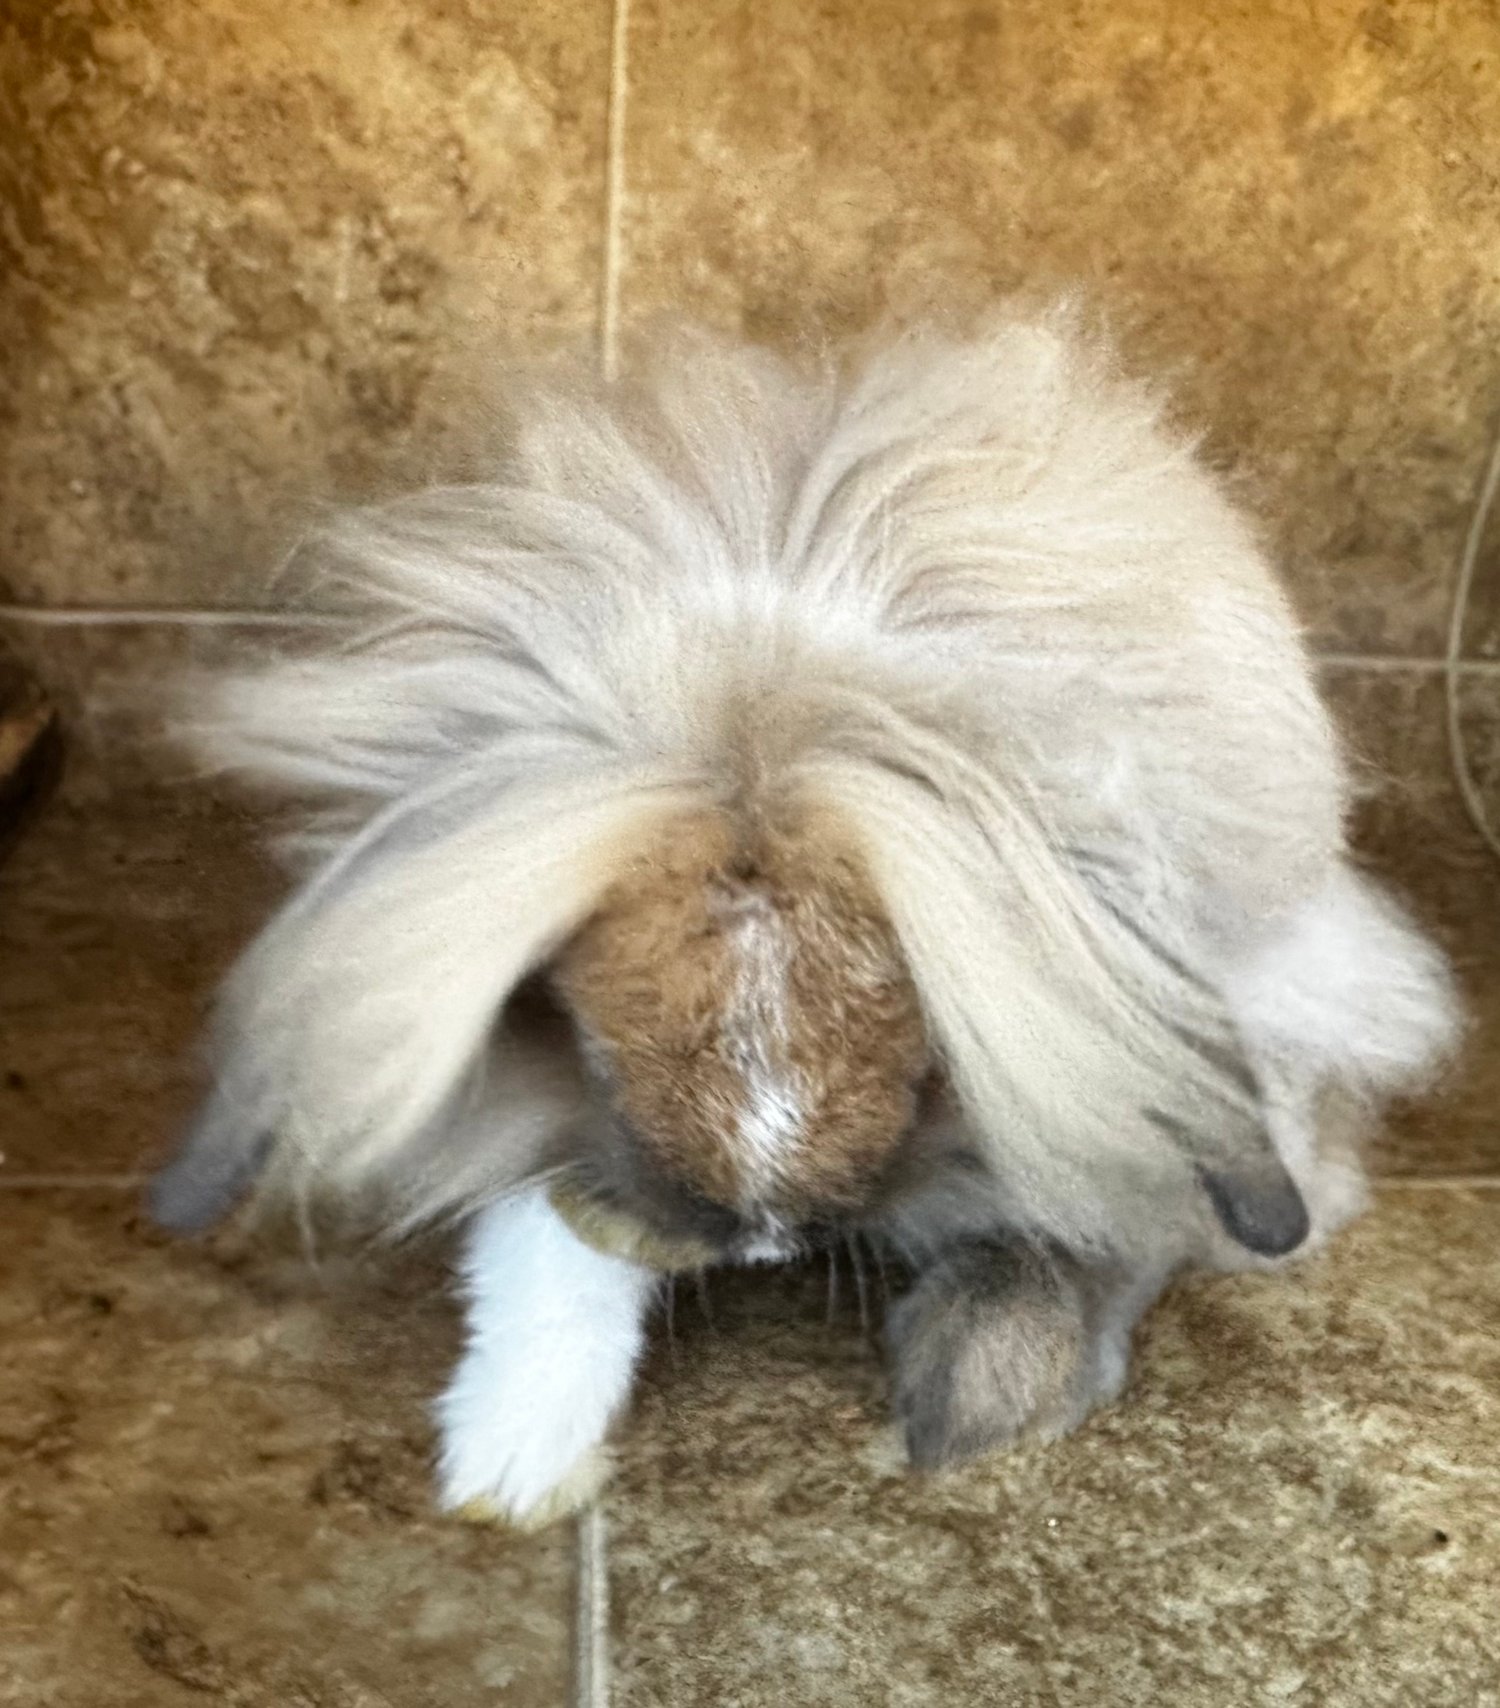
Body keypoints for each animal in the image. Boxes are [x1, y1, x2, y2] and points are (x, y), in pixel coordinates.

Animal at [147, 306, 1461, 1528]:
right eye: (589, 1039)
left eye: (930, 1058)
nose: (766, 1233)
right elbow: (549, 1243)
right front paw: (509, 1463)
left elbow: (1107, 1190)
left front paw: (976, 1393)